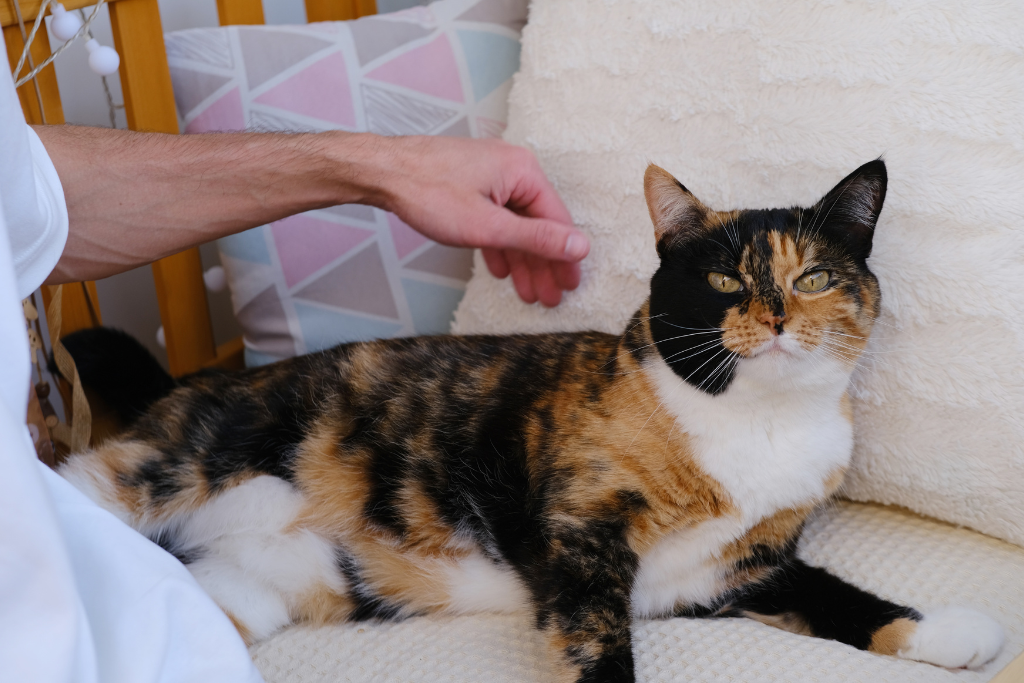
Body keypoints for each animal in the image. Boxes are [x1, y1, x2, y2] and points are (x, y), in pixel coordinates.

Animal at [56, 161, 999, 683]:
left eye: (814, 278)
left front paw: (951, 630)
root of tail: (195, 380)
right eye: (725, 279)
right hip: (180, 461)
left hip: (244, 591)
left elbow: (837, 595)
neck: (753, 425)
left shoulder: (740, 568)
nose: (772, 317)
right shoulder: (583, 533)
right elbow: (596, 641)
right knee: (84, 483)